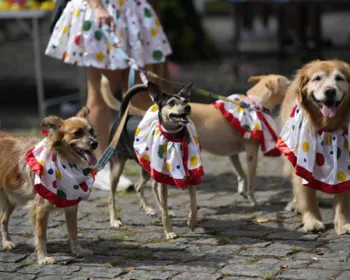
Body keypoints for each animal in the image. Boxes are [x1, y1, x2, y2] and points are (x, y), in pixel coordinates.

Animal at [0, 107, 96, 264]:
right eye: (78, 133)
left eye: (92, 132)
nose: (95, 143)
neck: (64, 161)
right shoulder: (40, 209)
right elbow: (41, 236)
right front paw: (43, 257)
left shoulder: (71, 208)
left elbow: (73, 233)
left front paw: (78, 251)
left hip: (10, 199)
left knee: (3, 220)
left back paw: (7, 242)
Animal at [100, 74, 290, 206]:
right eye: (288, 83)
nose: (295, 86)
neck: (252, 104)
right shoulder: (252, 154)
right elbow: (250, 179)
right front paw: (253, 199)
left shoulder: (233, 155)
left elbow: (241, 174)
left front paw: (242, 191)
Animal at [280, 59, 350, 234]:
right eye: (317, 78)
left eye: (339, 78)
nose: (330, 91)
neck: (327, 127)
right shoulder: (302, 161)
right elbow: (307, 196)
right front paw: (312, 221)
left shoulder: (345, 165)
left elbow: (343, 199)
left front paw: (343, 224)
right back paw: (295, 204)